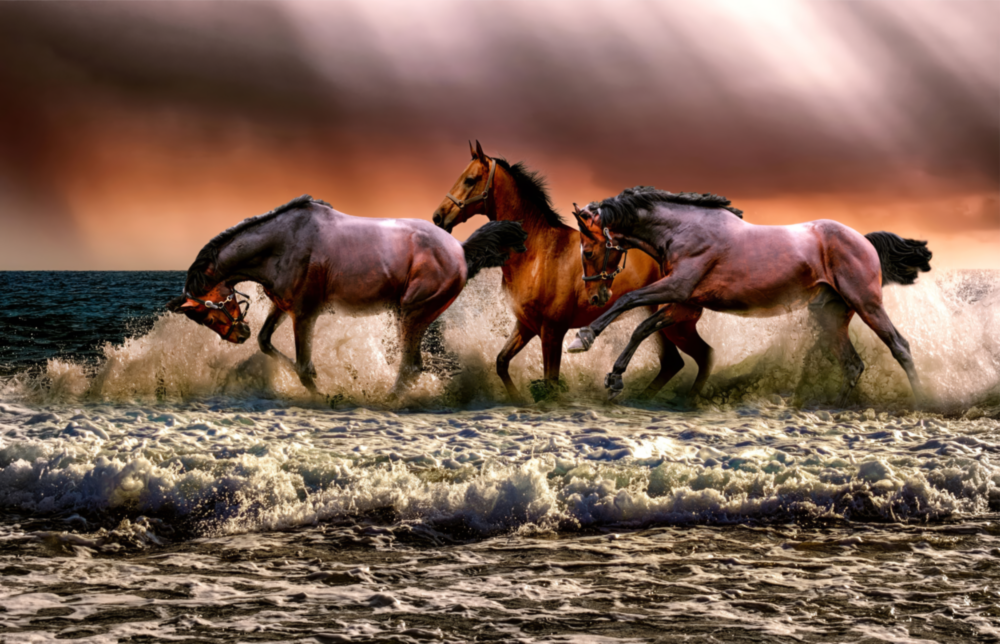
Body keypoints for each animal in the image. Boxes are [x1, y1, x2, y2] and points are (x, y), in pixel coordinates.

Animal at [167, 194, 527, 396]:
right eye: (200, 317)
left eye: (209, 308)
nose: (238, 334)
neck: (282, 243)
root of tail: (461, 250)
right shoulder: (282, 306)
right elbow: (266, 342)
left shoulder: (305, 313)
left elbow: (304, 367)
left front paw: (324, 393)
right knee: (413, 367)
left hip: (412, 313)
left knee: (410, 368)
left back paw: (386, 401)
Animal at [432, 141, 713, 402]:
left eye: (469, 180)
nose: (438, 217)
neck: (539, 254)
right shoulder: (526, 326)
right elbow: (502, 362)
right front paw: (519, 400)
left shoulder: (552, 332)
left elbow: (550, 383)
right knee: (676, 362)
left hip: (675, 325)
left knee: (700, 357)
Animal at [567, 186, 933, 404]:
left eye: (588, 250)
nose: (595, 294)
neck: (683, 230)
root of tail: (864, 240)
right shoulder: (684, 304)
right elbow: (643, 328)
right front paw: (615, 377)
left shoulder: (678, 287)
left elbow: (627, 302)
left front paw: (582, 338)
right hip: (830, 316)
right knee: (853, 365)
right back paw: (833, 409)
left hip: (866, 304)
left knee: (900, 346)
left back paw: (924, 401)